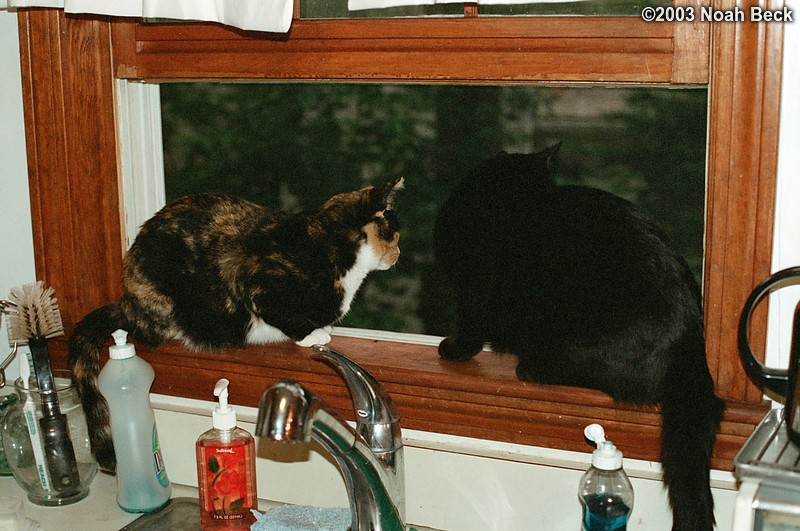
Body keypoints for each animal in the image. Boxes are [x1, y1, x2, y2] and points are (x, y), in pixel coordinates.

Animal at [68, 180, 404, 474]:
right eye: (395, 235)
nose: (398, 254)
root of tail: (126, 298)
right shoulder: (258, 282)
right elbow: (281, 315)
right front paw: (313, 334)